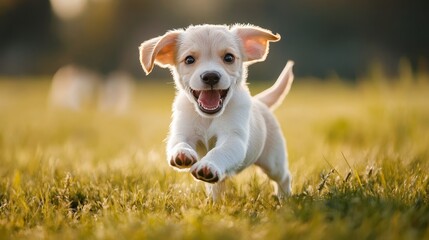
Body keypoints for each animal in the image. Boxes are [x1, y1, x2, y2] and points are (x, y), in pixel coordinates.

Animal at [140, 24, 294, 201]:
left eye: (229, 58)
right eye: (189, 60)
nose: (211, 76)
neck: (208, 118)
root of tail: (260, 102)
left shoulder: (233, 138)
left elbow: (218, 151)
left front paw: (209, 165)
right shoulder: (182, 133)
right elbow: (179, 143)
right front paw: (182, 153)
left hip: (273, 161)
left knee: (284, 176)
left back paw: (284, 198)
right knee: (217, 185)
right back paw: (215, 201)